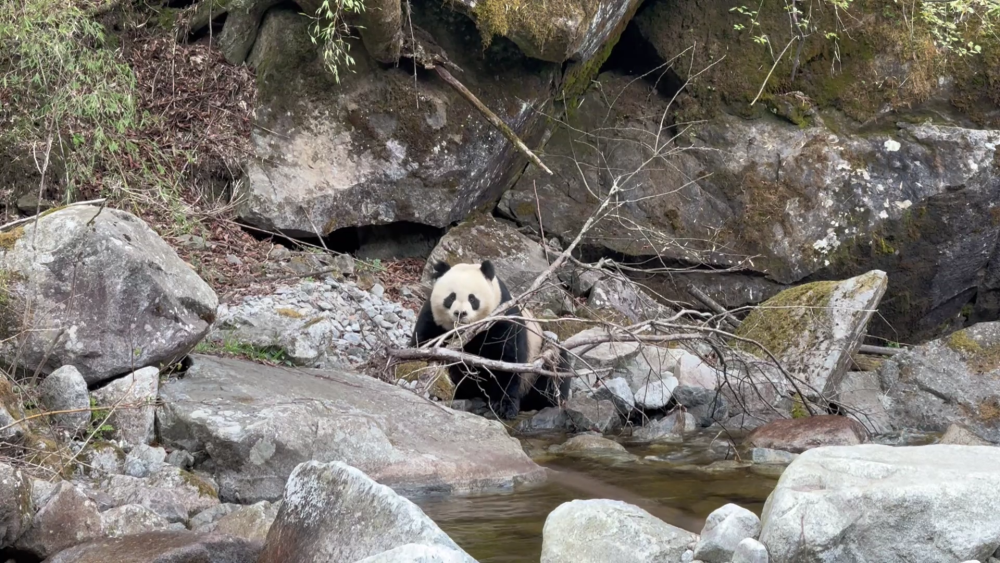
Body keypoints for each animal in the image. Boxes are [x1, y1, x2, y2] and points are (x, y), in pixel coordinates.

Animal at [410, 260, 572, 418]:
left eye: (472, 298)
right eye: (451, 297)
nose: (460, 313)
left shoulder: (502, 315)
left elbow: (508, 357)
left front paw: (504, 406)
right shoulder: (433, 316)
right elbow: (422, 340)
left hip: (539, 359)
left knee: (553, 371)